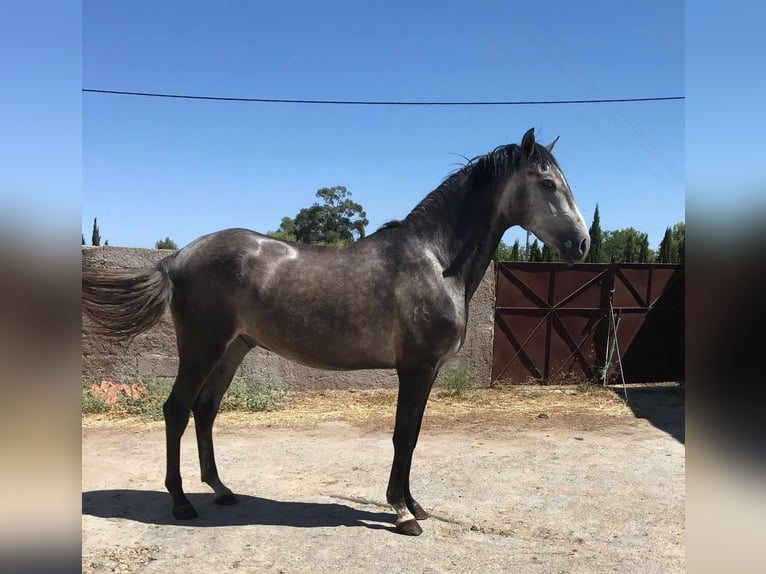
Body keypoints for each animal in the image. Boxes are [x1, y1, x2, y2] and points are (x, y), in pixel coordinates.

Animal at [82, 128, 588, 536]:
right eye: (547, 184)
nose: (582, 244)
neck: (435, 260)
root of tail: (178, 257)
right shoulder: (415, 368)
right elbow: (403, 436)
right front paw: (402, 513)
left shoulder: (427, 372)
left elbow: (414, 434)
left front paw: (415, 505)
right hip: (202, 348)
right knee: (176, 410)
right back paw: (182, 502)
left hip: (233, 349)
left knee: (205, 411)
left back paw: (222, 490)